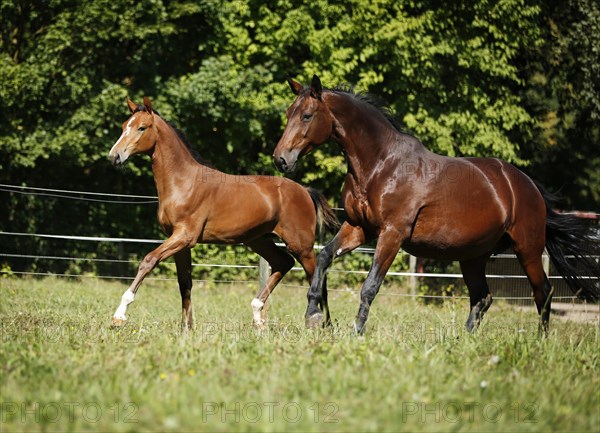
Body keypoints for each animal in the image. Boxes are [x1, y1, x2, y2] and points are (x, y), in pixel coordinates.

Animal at [108, 96, 338, 330]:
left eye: (141, 127)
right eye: (123, 126)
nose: (114, 156)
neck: (183, 183)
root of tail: (305, 191)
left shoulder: (184, 237)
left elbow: (148, 260)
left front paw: (119, 315)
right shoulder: (180, 242)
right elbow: (185, 284)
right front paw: (186, 328)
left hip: (301, 246)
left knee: (318, 280)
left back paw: (323, 325)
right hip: (259, 240)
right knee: (283, 263)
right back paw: (258, 318)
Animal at [274, 76, 600, 334]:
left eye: (307, 115)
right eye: (289, 113)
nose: (281, 160)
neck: (382, 164)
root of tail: (527, 185)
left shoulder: (392, 233)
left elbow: (370, 286)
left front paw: (357, 333)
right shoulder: (358, 227)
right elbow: (323, 258)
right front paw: (314, 316)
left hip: (528, 248)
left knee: (543, 292)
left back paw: (539, 341)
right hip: (473, 256)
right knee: (482, 298)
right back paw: (465, 341)